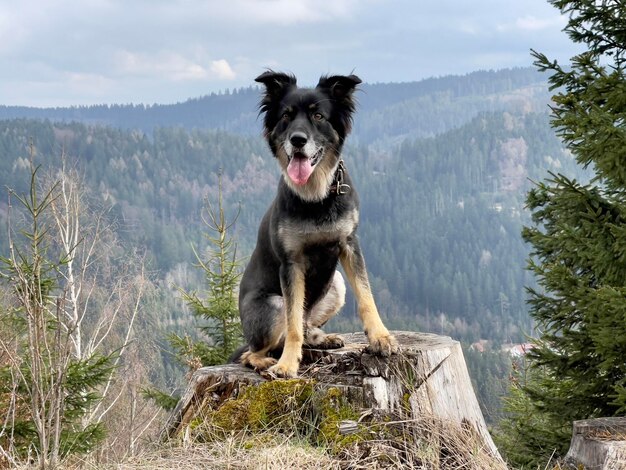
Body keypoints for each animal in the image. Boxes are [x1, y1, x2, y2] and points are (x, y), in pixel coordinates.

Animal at [232, 70, 398, 378]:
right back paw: (267, 360)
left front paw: (380, 337)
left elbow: (366, 297)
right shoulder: (291, 263)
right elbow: (293, 323)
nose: (297, 140)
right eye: (286, 115)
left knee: (306, 323)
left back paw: (320, 338)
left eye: (318, 116)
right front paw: (288, 363)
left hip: (336, 284)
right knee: (252, 351)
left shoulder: (349, 245)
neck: (316, 196)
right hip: (274, 304)